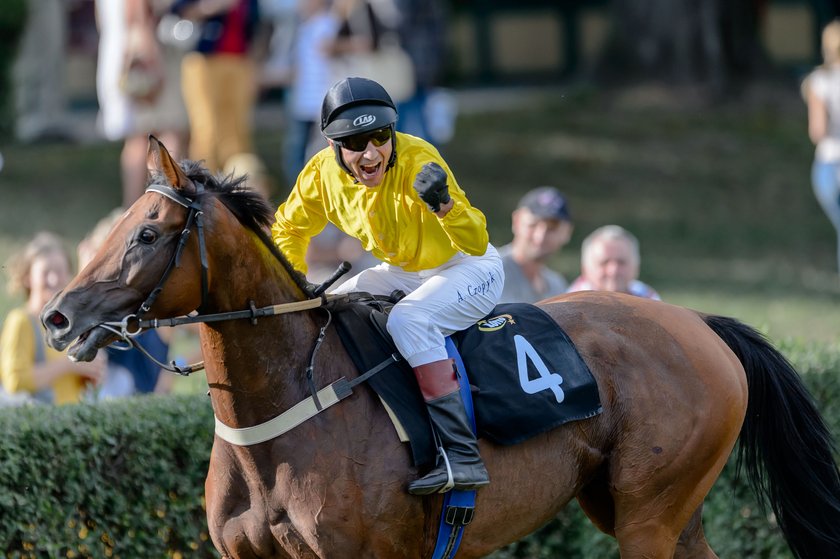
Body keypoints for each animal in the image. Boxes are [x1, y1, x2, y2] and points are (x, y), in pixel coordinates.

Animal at [41, 137, 840, 559]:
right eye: (119, 225)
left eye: (147, 233)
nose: (57, 317)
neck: (288, 407)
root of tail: (697, 321)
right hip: (651, 507)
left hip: (649, 512)